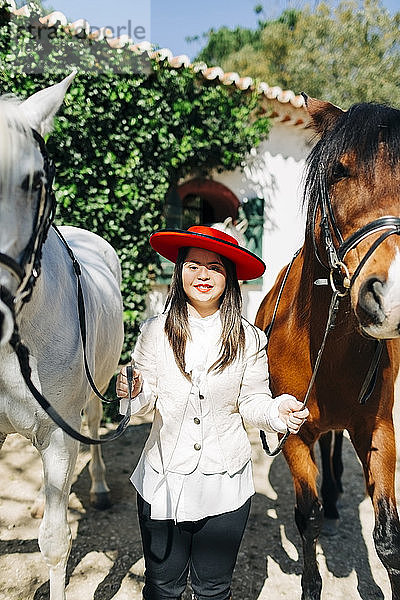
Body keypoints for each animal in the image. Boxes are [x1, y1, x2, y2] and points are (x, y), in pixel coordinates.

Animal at [255, 96, 400, 596]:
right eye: (339, 172)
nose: (393, 293)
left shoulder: (378, 430)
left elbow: (388, 538)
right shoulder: (294, 436)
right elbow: (307, 518)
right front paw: (310, 584)